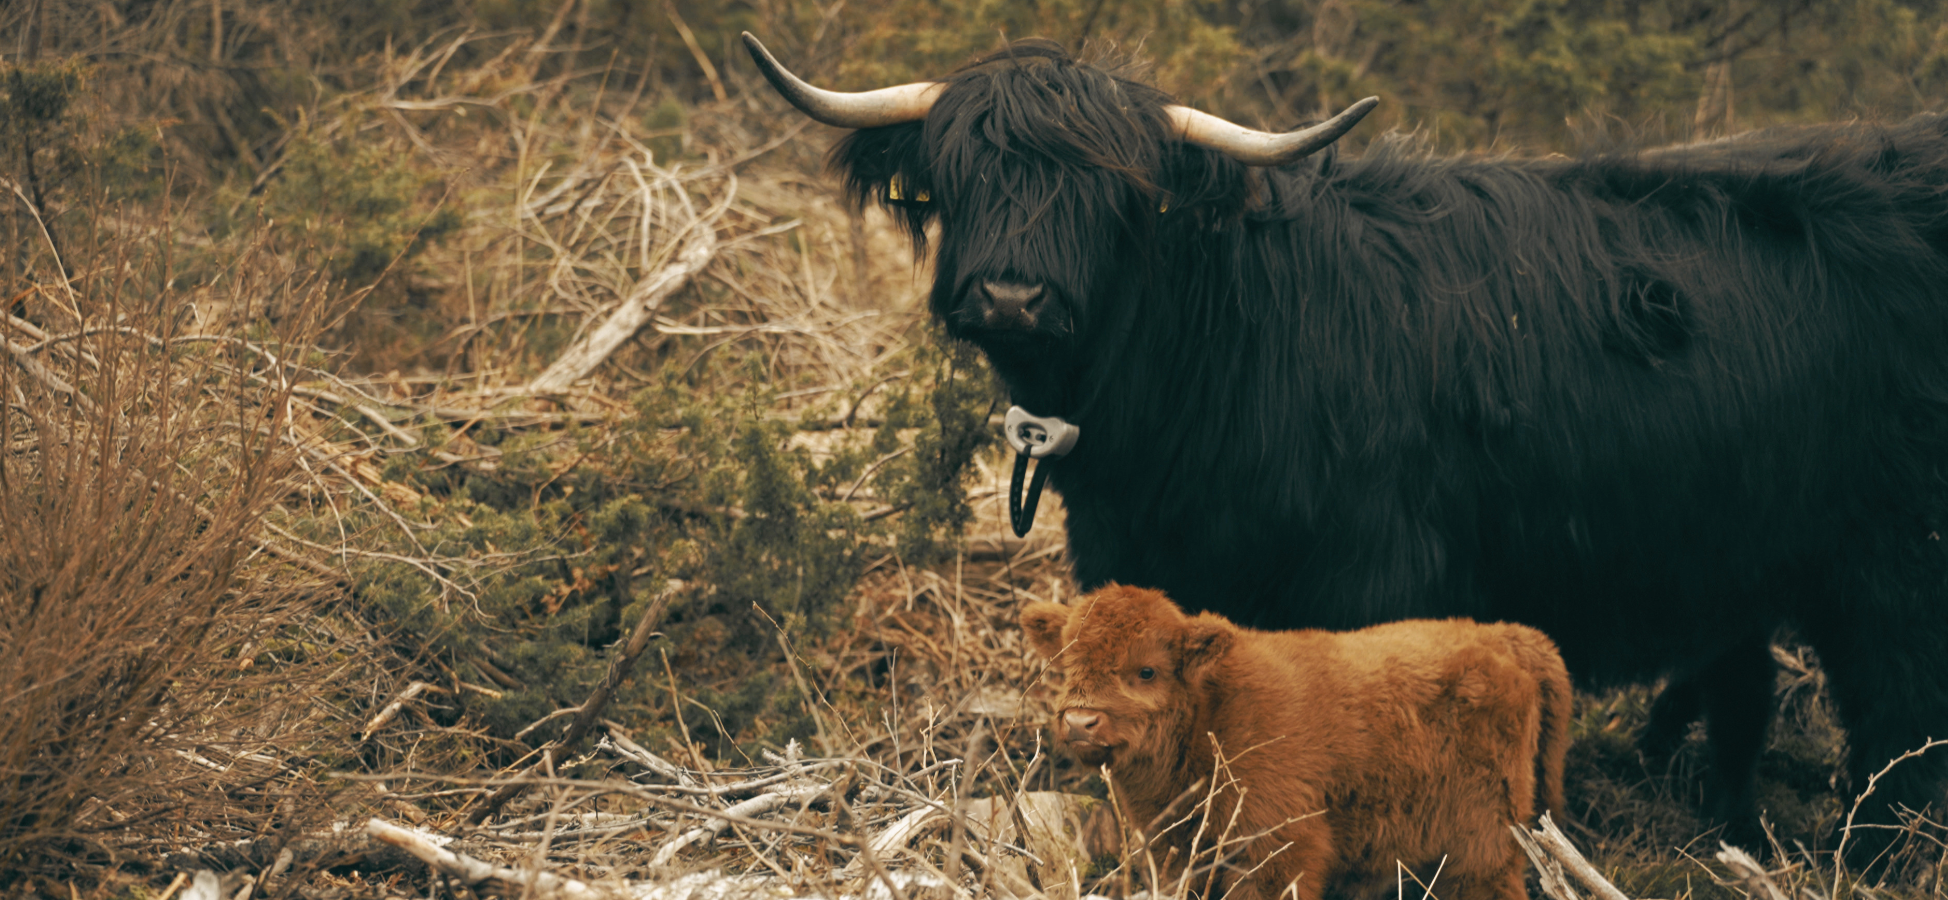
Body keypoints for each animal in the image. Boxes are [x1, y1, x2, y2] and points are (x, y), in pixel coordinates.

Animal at [743, 34, 1948, 856]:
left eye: (1113, 193)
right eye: (963, 173)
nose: (1010, 294)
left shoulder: (1374, 575)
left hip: (1894, 564)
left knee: (1898, 723)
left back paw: (1866, 856)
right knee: (1748, 685)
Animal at [1020, 585, 1573, 900]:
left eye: (1147, 670)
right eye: (1066, 663)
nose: (1081, 721)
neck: (1211, 711)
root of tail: (1499, 635)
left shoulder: (1279, 850)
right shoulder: (1176, 850)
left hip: (1480, 844)